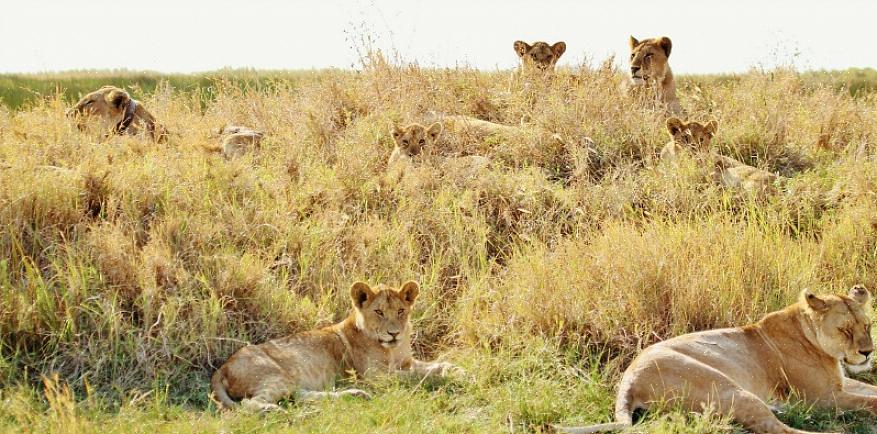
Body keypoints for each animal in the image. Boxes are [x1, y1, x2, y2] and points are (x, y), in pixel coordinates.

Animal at [211, 280, 462, 412]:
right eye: (379, 312)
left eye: (401, 311)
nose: (394, 333)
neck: (391, 349)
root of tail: (222, 367)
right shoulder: (377, 377)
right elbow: (417, 377)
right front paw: (446, 378)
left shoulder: (406, 362)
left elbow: (433, 364)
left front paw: (456, 369)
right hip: (275, 375)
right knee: (250, 404)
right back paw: (279, 412)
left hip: (289, 381)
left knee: (300, 396)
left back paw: (355, 395)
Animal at [556, 284, 872, 434]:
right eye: (845, 330)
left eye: (867, 326)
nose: (868, 353)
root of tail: (628, 380)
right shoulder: (821, 399)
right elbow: (870, 402)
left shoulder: (841, 384)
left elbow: (871, 391)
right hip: (729, 389)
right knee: (777, 429)